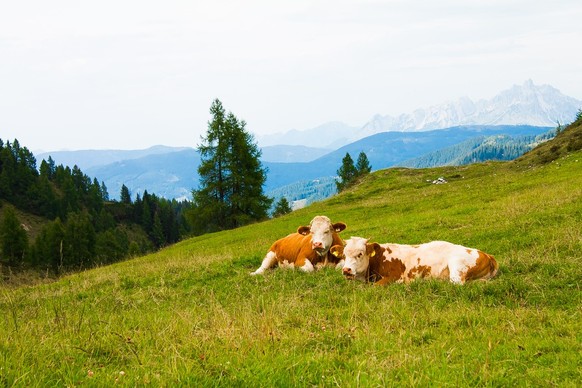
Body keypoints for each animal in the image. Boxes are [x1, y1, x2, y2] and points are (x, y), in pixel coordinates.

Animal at [330, 236, 500, 284]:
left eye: (360, 254)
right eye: (344, 256)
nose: (346, 270)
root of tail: (487, 254)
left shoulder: (394, 277)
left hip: (457, 266)